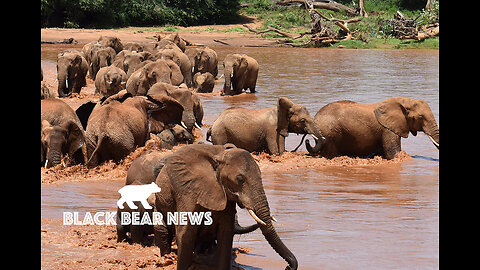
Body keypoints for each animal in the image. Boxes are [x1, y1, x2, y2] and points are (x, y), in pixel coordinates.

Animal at [154, 144, 298, 270]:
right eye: (240, 179)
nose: (288, 267)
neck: (219, 157)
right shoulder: (188, 190)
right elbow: (186, 234)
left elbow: (225, 235)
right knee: (162, 230)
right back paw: (167, 257)